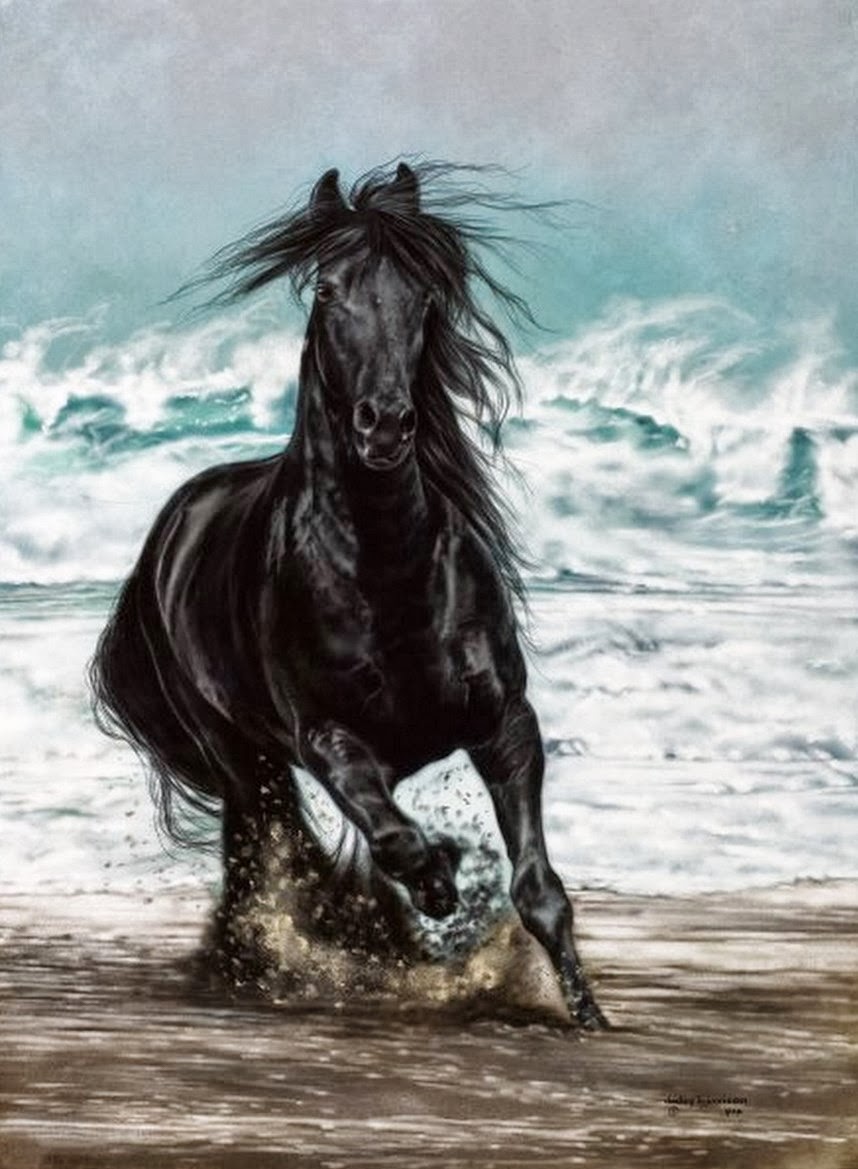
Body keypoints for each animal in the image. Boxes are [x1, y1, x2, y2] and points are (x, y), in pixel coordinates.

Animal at [90, 161, 607, 1029]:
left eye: (422, 296)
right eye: (330, 290)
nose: (385, 425)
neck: (387, 569)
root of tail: (173, 525)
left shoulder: (506, 723)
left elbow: (540, 889)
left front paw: (592, 1018)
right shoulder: (328, 739)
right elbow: (398, 844)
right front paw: (437, 884)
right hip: (245, 757)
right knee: (268, 852)